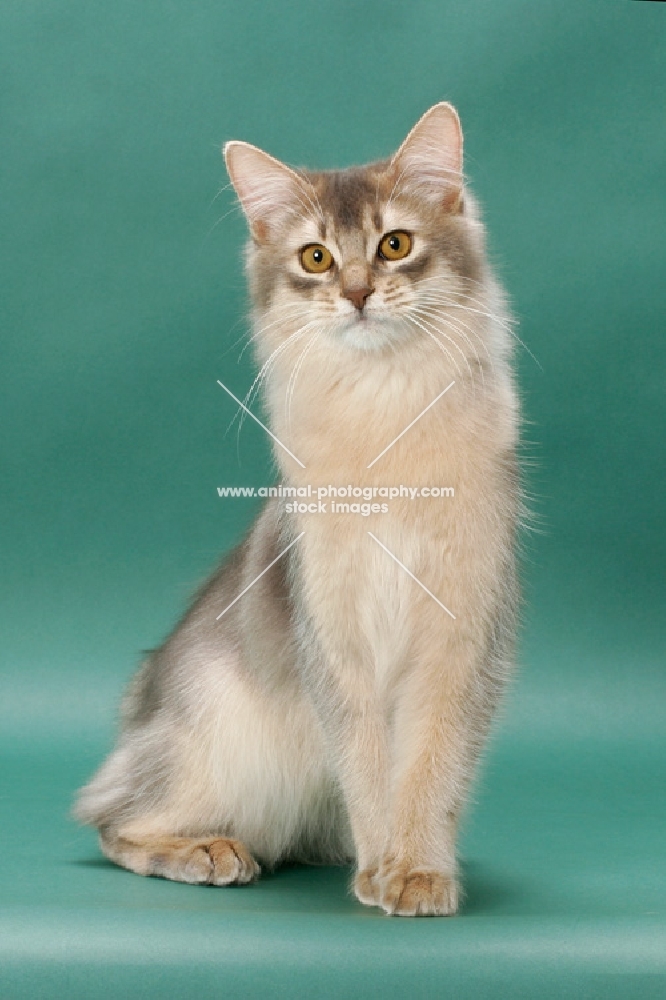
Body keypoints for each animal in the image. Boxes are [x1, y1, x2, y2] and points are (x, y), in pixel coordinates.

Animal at [74, 105, 520, 916]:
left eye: (394, 244)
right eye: (315, 258)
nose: (356, 294)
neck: (384, 427)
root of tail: (140, 705)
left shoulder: (462, 636)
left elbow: (432, 770)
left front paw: (419, 873)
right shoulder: (335, 639)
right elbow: (368, 766)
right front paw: (384, 871)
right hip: (216, 733)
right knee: (111, 820)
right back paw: (208, 852)